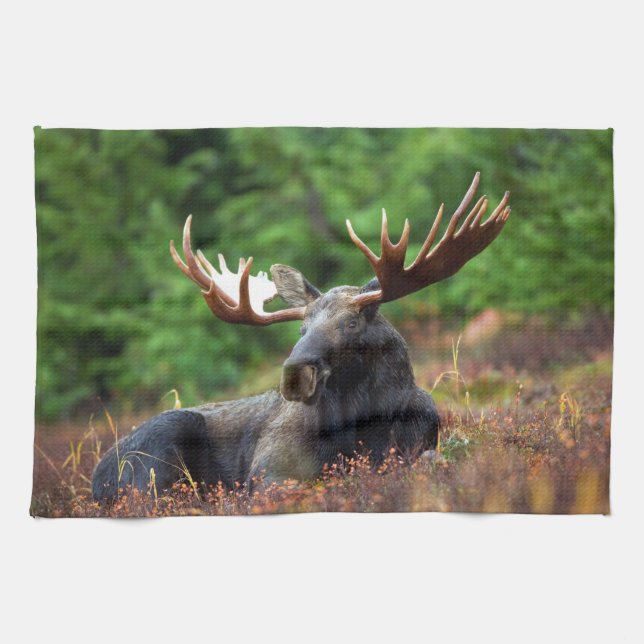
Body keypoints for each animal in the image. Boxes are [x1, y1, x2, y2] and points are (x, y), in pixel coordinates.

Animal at [92, 172, 511, 502]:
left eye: (352, 323)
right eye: (301, 328)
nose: (295, 373)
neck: (362, 426)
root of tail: (97, 479)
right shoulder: (269, 469)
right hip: (157, 455)